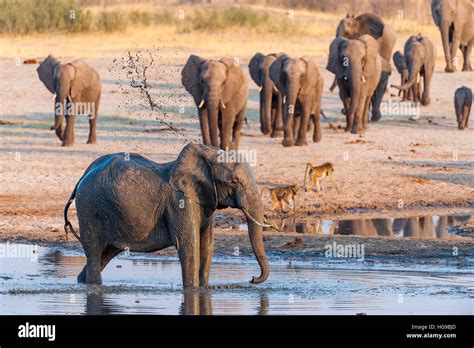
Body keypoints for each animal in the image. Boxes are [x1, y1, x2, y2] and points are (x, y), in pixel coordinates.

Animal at [63, 144, 270, 288]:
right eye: (234, 182)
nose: (252, 278)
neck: (208, 154)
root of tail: (81, 177)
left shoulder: (204, 198)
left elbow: (207, 244)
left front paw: (204, 289)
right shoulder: (181, 201)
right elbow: (189, 244)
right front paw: (193, 290)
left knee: (107, 253)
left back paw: (82, 281)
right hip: (90, 207)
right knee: (95, 251)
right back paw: (93, 286)